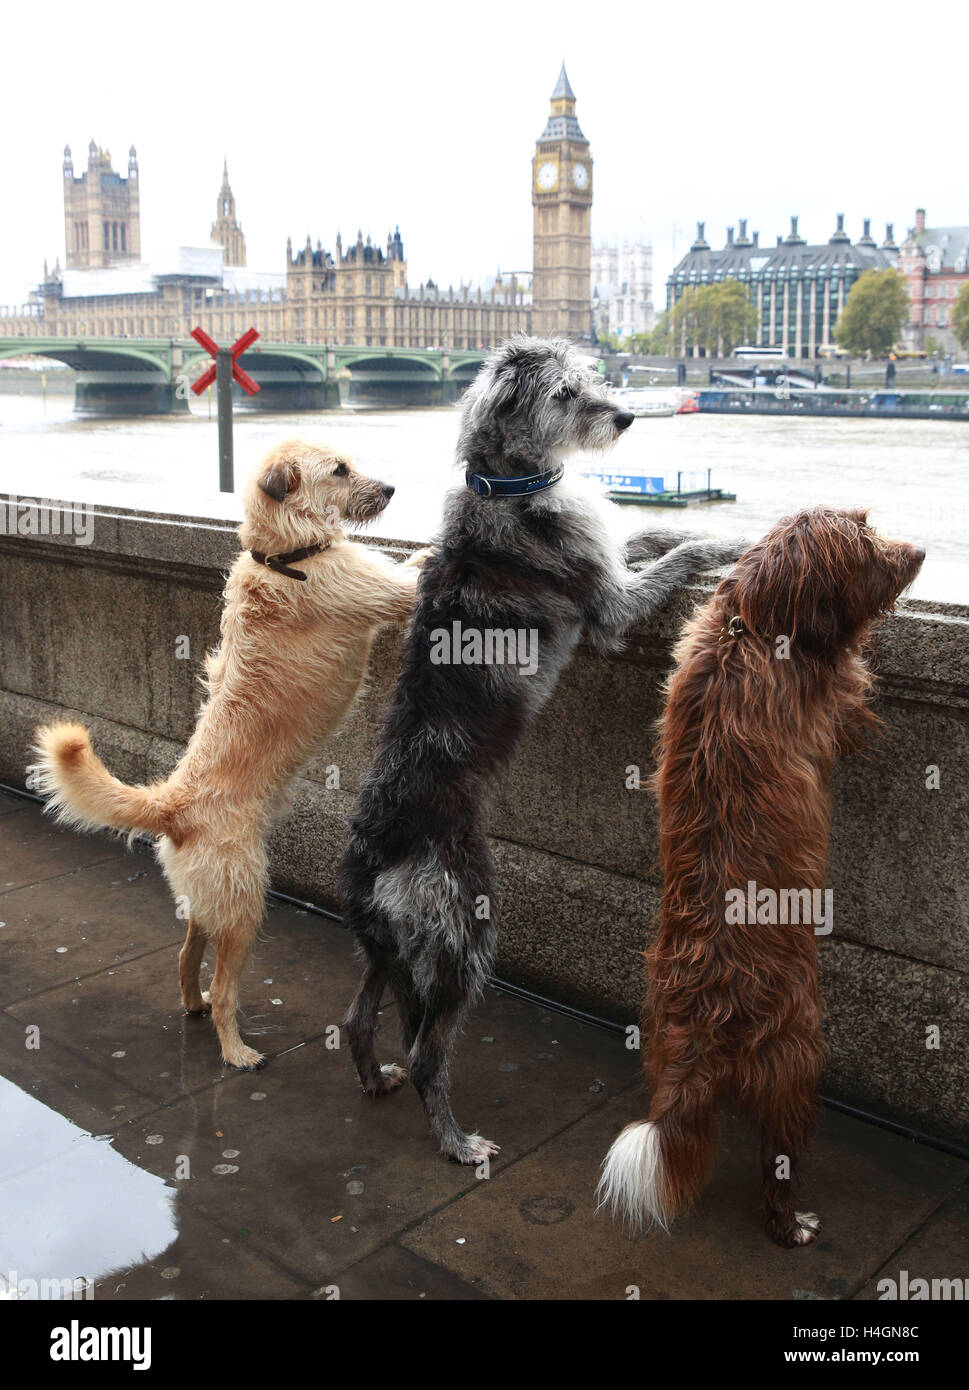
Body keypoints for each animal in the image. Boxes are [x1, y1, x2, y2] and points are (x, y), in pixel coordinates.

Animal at [31, 439, 428, 1067]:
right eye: (339, 470)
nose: (390, 490)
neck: (284, 552)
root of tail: (172, 804)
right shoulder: (385, 594)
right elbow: (418, 571)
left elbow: (411, 564)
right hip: (245, 901)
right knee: (224, 988)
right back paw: (236, 1050)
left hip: (206, 900)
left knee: (186, 957)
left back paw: (192, 1004)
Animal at [340, 336, 739, 1162]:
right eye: (563, 394)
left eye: (589, 379)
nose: (623, 416)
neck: (508, 483)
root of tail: (371, 848)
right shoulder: (611, 602)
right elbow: (673, 556)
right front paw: (725, 540)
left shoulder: (604, 549)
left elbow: (640, 536)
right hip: (462, 926)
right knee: (427, 1050)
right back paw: (456, 1142)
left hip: (384, 944)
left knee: (357, 1018)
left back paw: (373, 1079)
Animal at [597, 508, 923, 1251]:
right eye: (866, 543)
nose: (918, 551)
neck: (748, 624)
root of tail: (707, 1021)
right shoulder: (836, 698)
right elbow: (854, 686)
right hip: (797, 1055)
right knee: (778, 1159)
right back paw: (791, 1223)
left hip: (659, 1037)